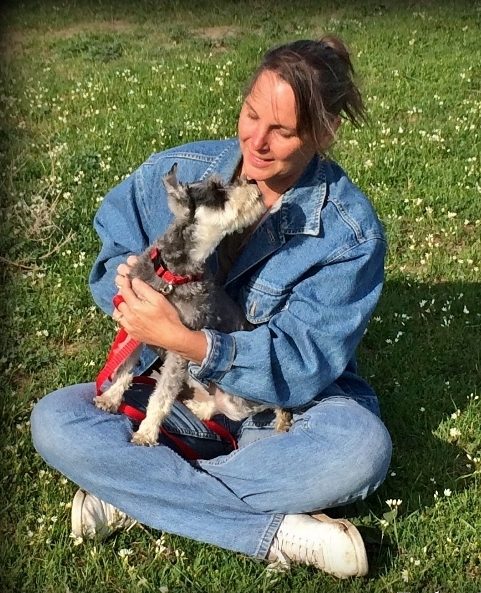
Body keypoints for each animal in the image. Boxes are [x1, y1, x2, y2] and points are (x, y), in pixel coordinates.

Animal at [93, 164, 288, 446]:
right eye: (217, 191)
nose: (252, 182)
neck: (172, 275)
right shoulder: (134, 326)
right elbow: (125, 367)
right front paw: (110, 398)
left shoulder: (178, 349)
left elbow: (162, 396)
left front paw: (147, 432)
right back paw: (197, 406)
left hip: (237, 397)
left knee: (254, 407)